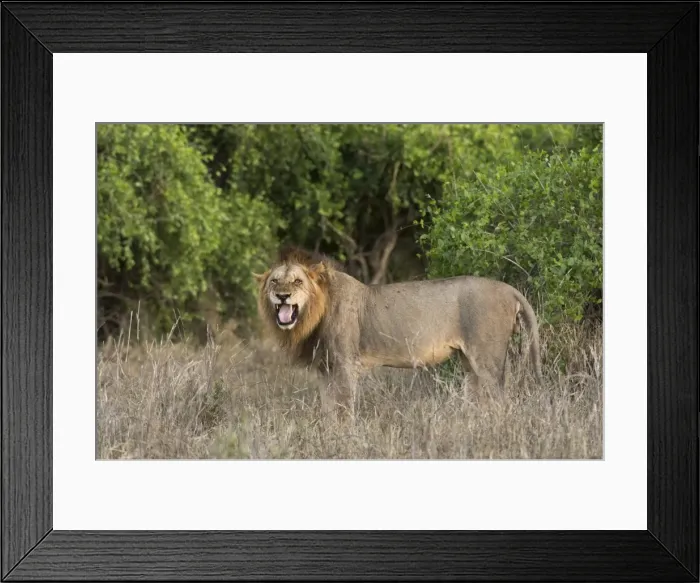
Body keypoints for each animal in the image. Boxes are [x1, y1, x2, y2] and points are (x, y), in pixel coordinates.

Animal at [255, 246, 543, 417]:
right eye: (274, 281)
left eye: (297, 281)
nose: (282, 296)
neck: (311, 316)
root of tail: (509, 289)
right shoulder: (324, 369)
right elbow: (328, 410)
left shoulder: (346, 365)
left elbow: (345, 410)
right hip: (468, 364)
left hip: (487, 359)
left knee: (501, 400)